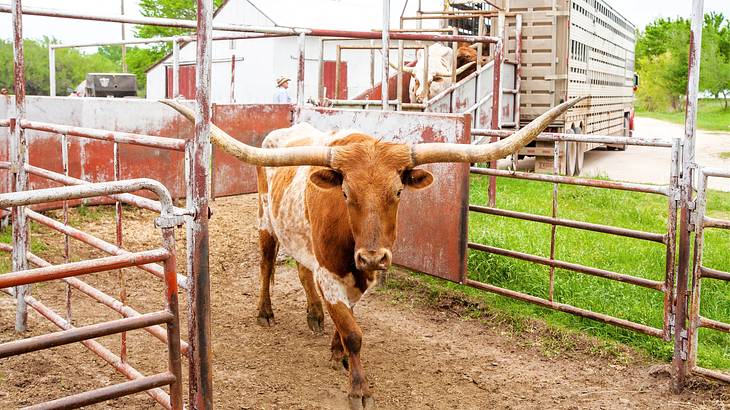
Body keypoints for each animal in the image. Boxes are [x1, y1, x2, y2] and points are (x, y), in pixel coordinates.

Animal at [161, 97, 580, 408]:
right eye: (347, 193)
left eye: (397, 192)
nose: (375, 257)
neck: (354, 251)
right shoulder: (332, 272)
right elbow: (354, 332)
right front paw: (358, 388)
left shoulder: (361, 275)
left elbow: (348, 319)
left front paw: (337, 352)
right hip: (266, 218)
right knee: (267, 263)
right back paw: (265, 312)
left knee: (301, 269)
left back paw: (314, 314)